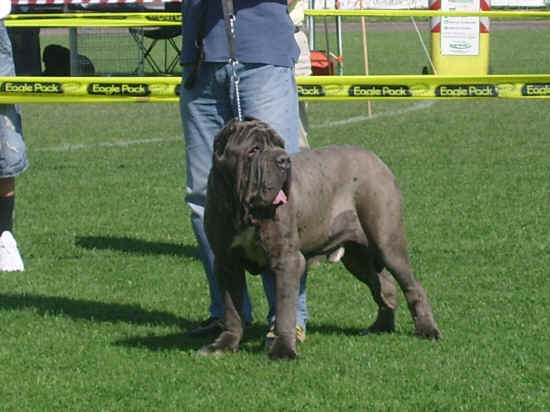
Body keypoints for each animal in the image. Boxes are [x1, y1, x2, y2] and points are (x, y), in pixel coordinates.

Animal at [201, 117, 442, 358]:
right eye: (253, 150)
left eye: (280, 144)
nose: (284, 160)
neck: (244, 211)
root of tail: (375, 157)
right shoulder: (226, 263)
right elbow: (232, 309)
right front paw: (224, 344)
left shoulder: (287, 260)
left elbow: (285, 310)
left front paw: (283, 349)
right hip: (357, 259)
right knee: (384, 286)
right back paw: (381, 326)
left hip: (387, 245)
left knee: (413, 286)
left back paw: (427, 330)